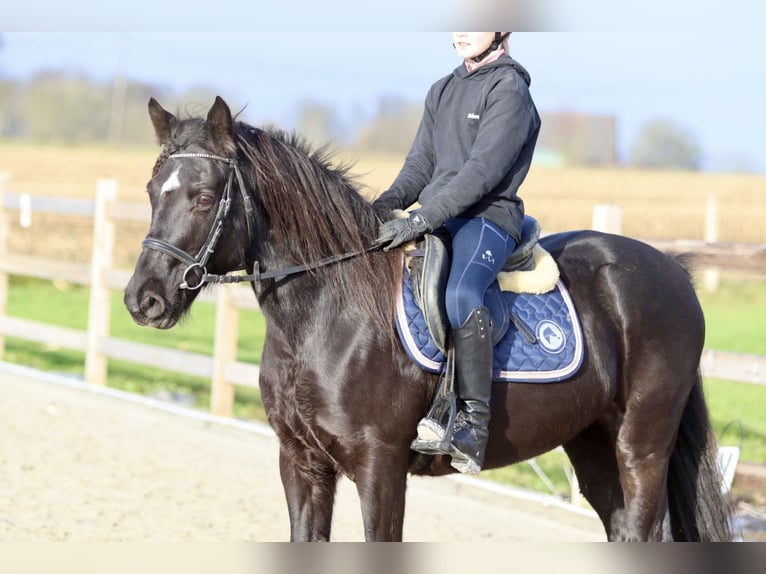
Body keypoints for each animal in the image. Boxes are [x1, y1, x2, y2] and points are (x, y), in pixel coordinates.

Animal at [123, 97, 736, 544]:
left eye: (204, 197)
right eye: (153, 191)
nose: (142, 300)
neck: (325, 318)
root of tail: (674, 272)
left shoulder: (381, 467)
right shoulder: (300, 463)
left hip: (642, 446)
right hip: (591, 444)